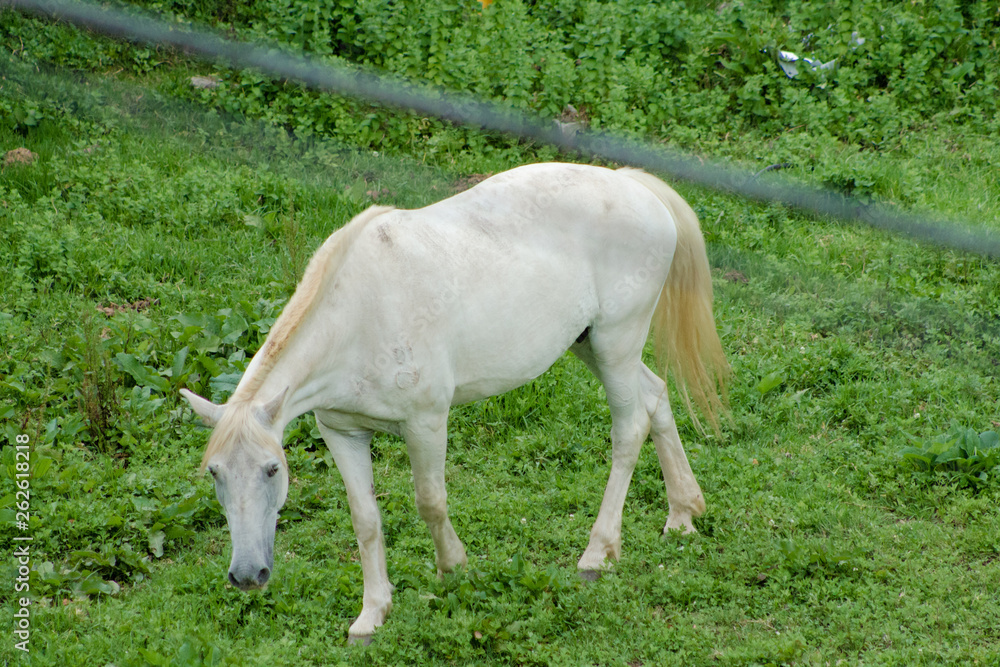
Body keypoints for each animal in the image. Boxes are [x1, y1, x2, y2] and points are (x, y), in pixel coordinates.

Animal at [180, 162, 729, 644]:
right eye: (215, 474)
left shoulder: (426, 422)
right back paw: (683, 514)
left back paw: (598, 553)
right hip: (590, 344)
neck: (359, 314)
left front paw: (453, 571)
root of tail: (634, 186)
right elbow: (365, 520)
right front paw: (371, 616)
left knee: (629, 428)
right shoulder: (342, 431)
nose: (247, 575)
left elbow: (430, 501)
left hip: (616, 345)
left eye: (272, 469)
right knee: (656, 397)